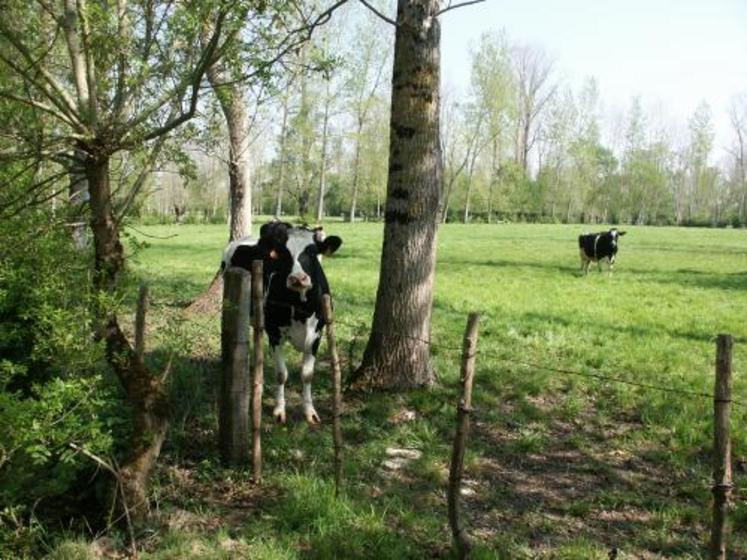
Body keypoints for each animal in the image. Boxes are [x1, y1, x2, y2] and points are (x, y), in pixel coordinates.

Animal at [219, 221, 342, 422]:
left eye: (313, 252)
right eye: (284, 254)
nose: (298, 278)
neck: (300, 309)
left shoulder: (317, 335)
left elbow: (307, 375)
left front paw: (309, 411)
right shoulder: (275, 334)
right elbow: (281, 374)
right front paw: (279, 410)